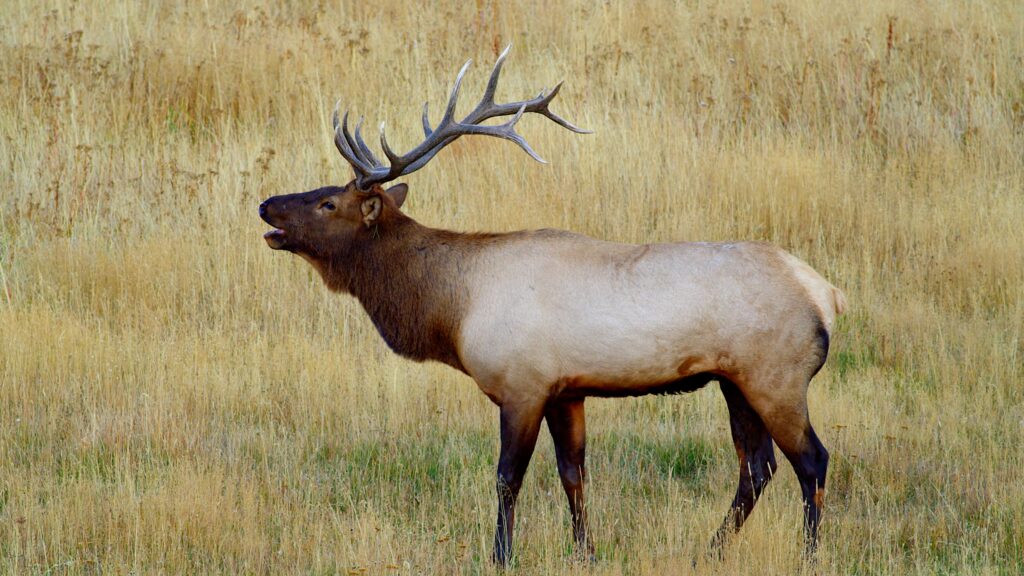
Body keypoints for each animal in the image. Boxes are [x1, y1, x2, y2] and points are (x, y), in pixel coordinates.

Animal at [258, 47, 844, 566]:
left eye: (328, 202)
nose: (266, 204)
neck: (452, 307)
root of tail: (827, 296)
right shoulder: (568, 390)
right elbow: (573, 474)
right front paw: (586, 551)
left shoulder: (522, 385)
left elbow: (506, 477)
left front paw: (500, 555)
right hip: (734, 380)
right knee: (758, 466)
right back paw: (710, 550)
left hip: (775, 376)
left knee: (810, 460)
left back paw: (809, 555)